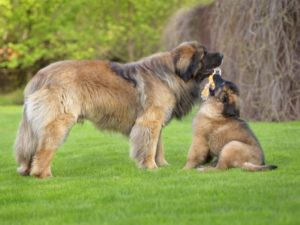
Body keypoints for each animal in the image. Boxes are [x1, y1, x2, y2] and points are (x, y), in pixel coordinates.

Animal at [15, 40, 224, 178]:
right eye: (205, 54)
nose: (222, 54)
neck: (173, 73)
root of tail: (40, 75)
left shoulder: (157, 122)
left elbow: (158, 146)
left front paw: (162, 165)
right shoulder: (150, 120)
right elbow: (149, 146)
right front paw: (151, 167)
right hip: (59, 121)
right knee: (44, 150)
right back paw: (43, 175)